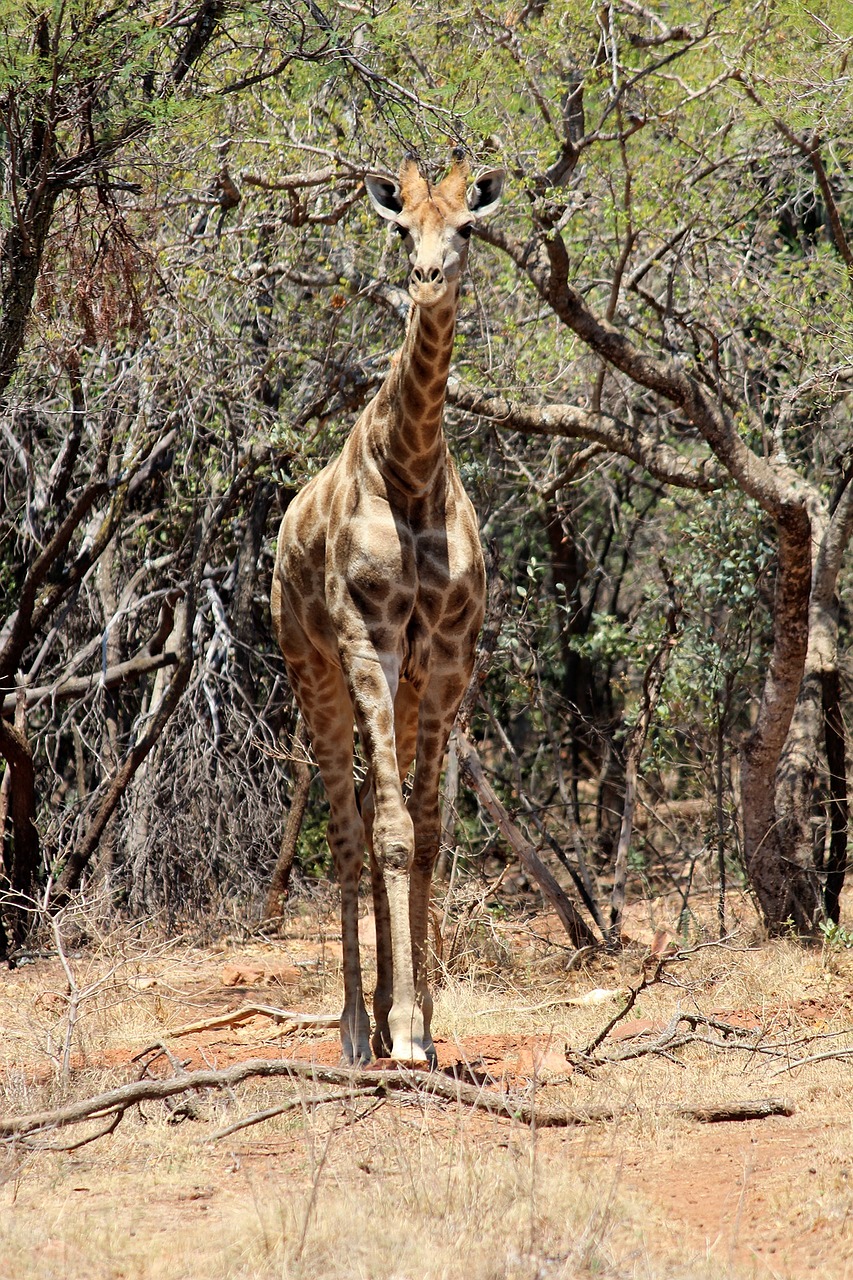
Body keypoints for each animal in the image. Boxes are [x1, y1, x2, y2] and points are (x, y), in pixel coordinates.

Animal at [268, 154, 502, 1064]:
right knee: (344, 828)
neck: (411, 470)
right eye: (401, 227)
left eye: (466, 227)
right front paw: (400, 1035)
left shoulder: (445, 655)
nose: (426, 279)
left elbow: (425, 830)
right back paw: (354, 1031)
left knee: (372, 816)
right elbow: (394, 834)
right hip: (313, 673)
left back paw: (378, 1015)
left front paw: (425, 1026)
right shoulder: (366, 641)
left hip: (395, 684)